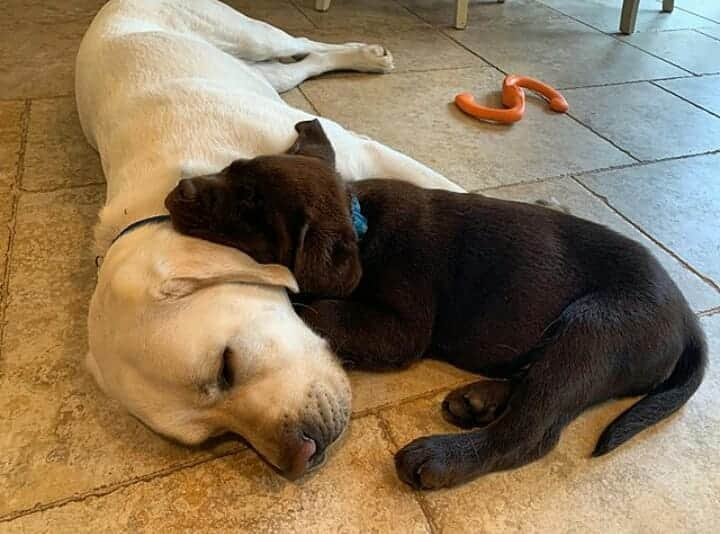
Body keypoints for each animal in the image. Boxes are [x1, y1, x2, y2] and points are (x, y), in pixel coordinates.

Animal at [77, 0, 462, 480]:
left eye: (225, 366)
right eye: (215, 435)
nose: (300, 457)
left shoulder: (362, 152)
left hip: (249, 34)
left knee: (303, 44)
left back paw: (368, 55)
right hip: (256, 69)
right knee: (293, 68)